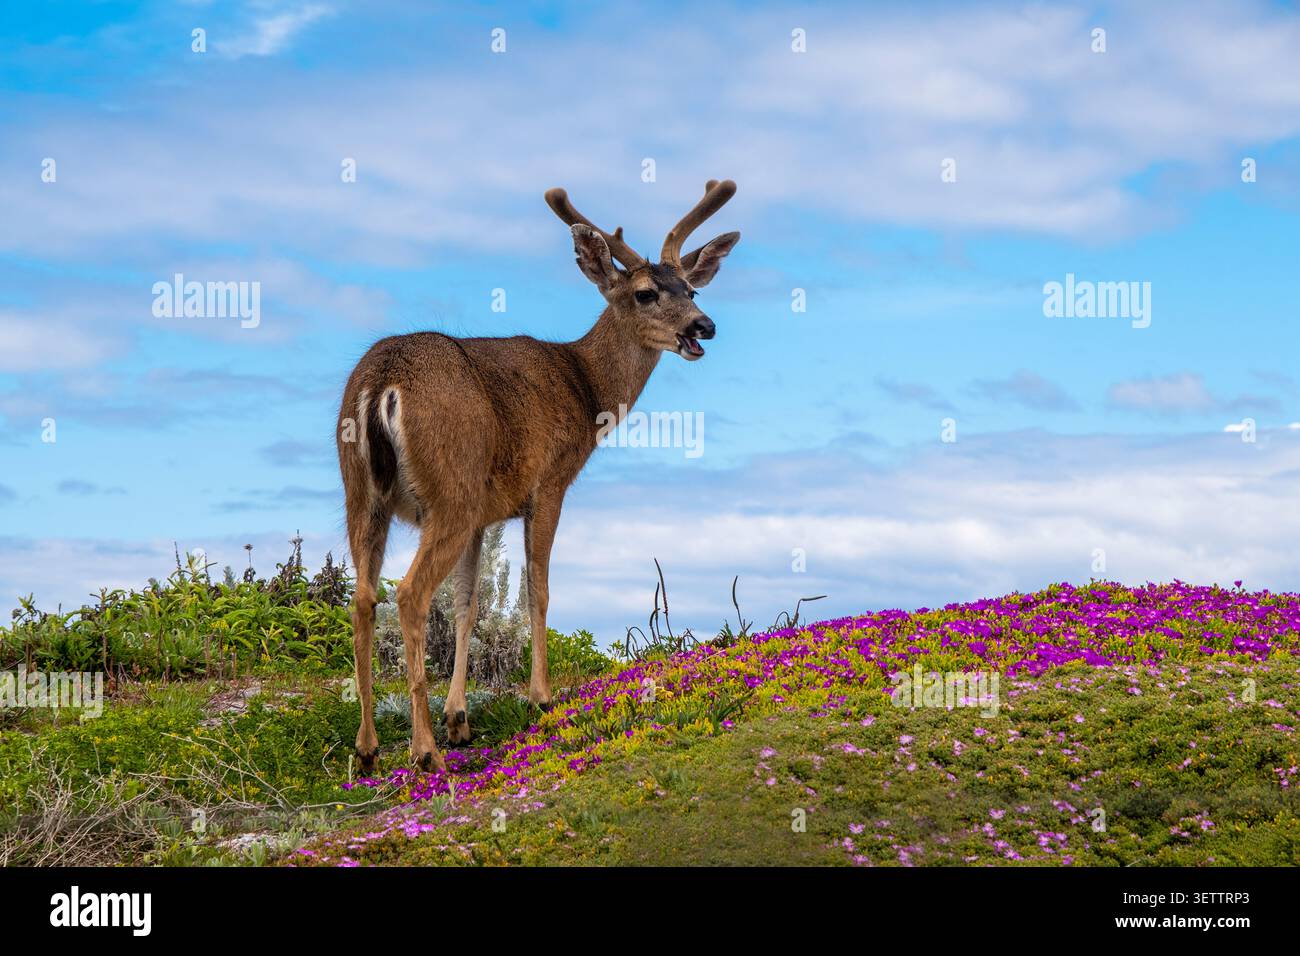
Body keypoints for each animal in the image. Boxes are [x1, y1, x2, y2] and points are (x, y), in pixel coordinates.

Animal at [337, 179, 740, 773]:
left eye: (690, 288)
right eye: (646, 293)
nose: (703, 326)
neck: (586, 389)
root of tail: (381, 384)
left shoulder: (485, 514)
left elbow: (468, 603)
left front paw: (460, 718)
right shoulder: (548, 483)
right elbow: (538, 590)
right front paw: (540, 697)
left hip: (364, 494)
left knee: (363, 596)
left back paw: (367, 748)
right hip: (449, 488)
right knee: (408, 593)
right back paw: (423, 749)